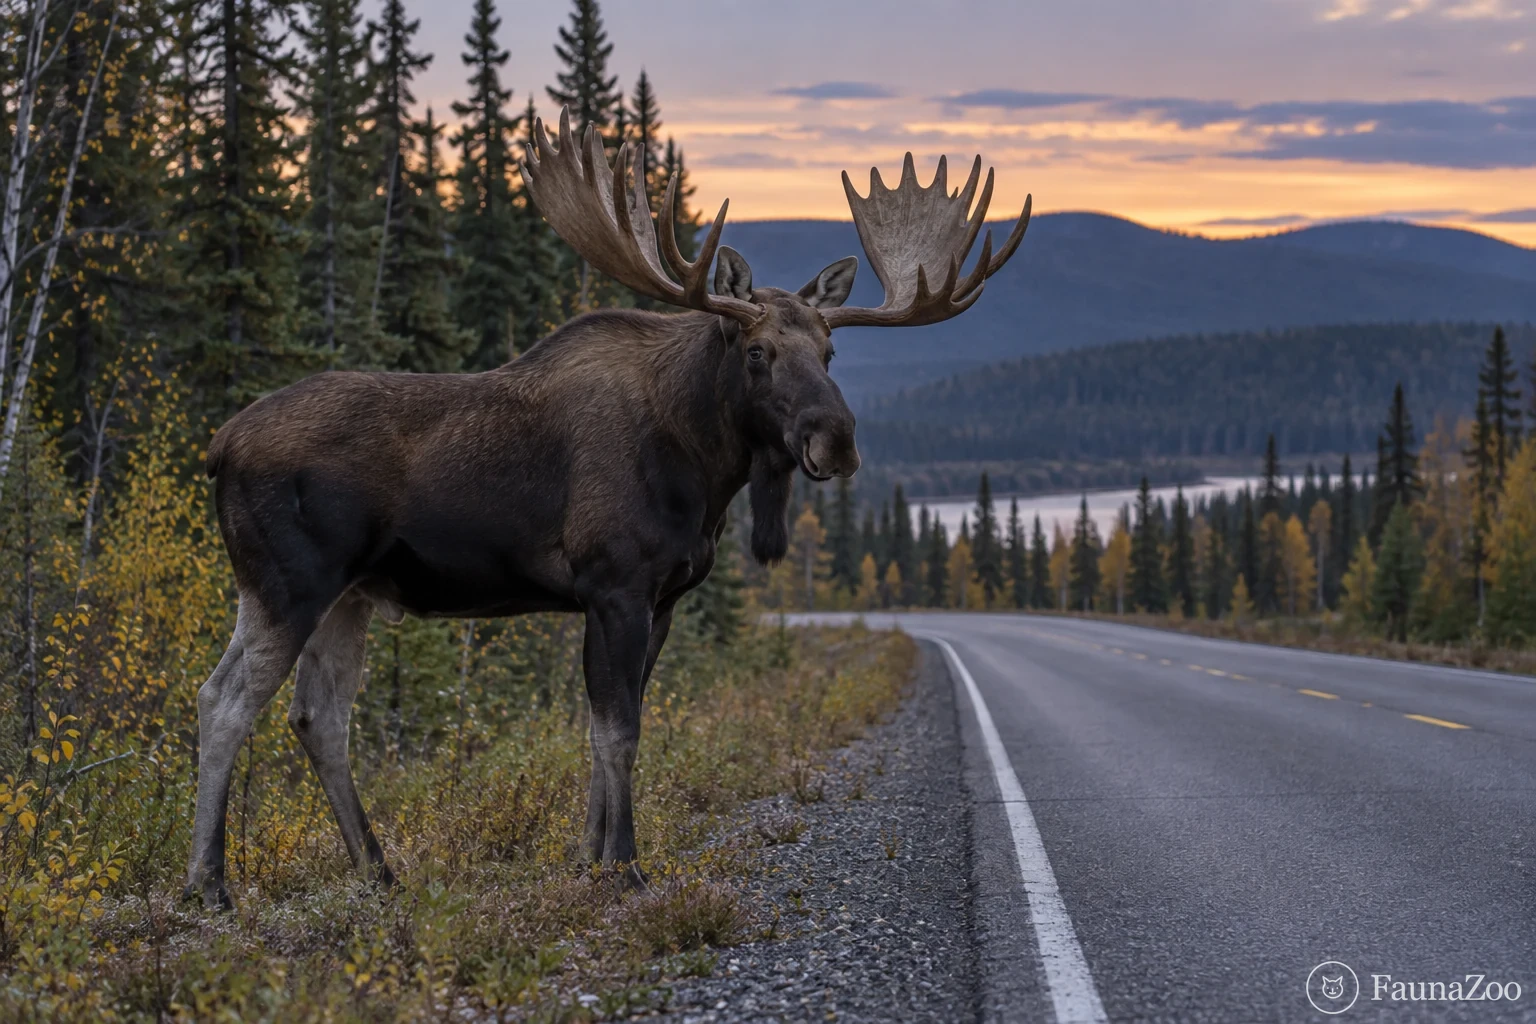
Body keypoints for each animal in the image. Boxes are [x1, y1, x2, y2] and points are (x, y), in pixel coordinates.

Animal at [183, 107, 1031, 909]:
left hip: (350, 595)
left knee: (318, 717)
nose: (837, 439)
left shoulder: (660, 600)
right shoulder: (615, 585)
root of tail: (219, 445)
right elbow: (619, 730)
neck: (701, 468)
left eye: (830, 352)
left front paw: (588, 856)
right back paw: (208, 884)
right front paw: (624, 865)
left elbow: (611, 727)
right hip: (287, 583)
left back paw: (378, 870)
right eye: (759, 353)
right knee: (223, 700)